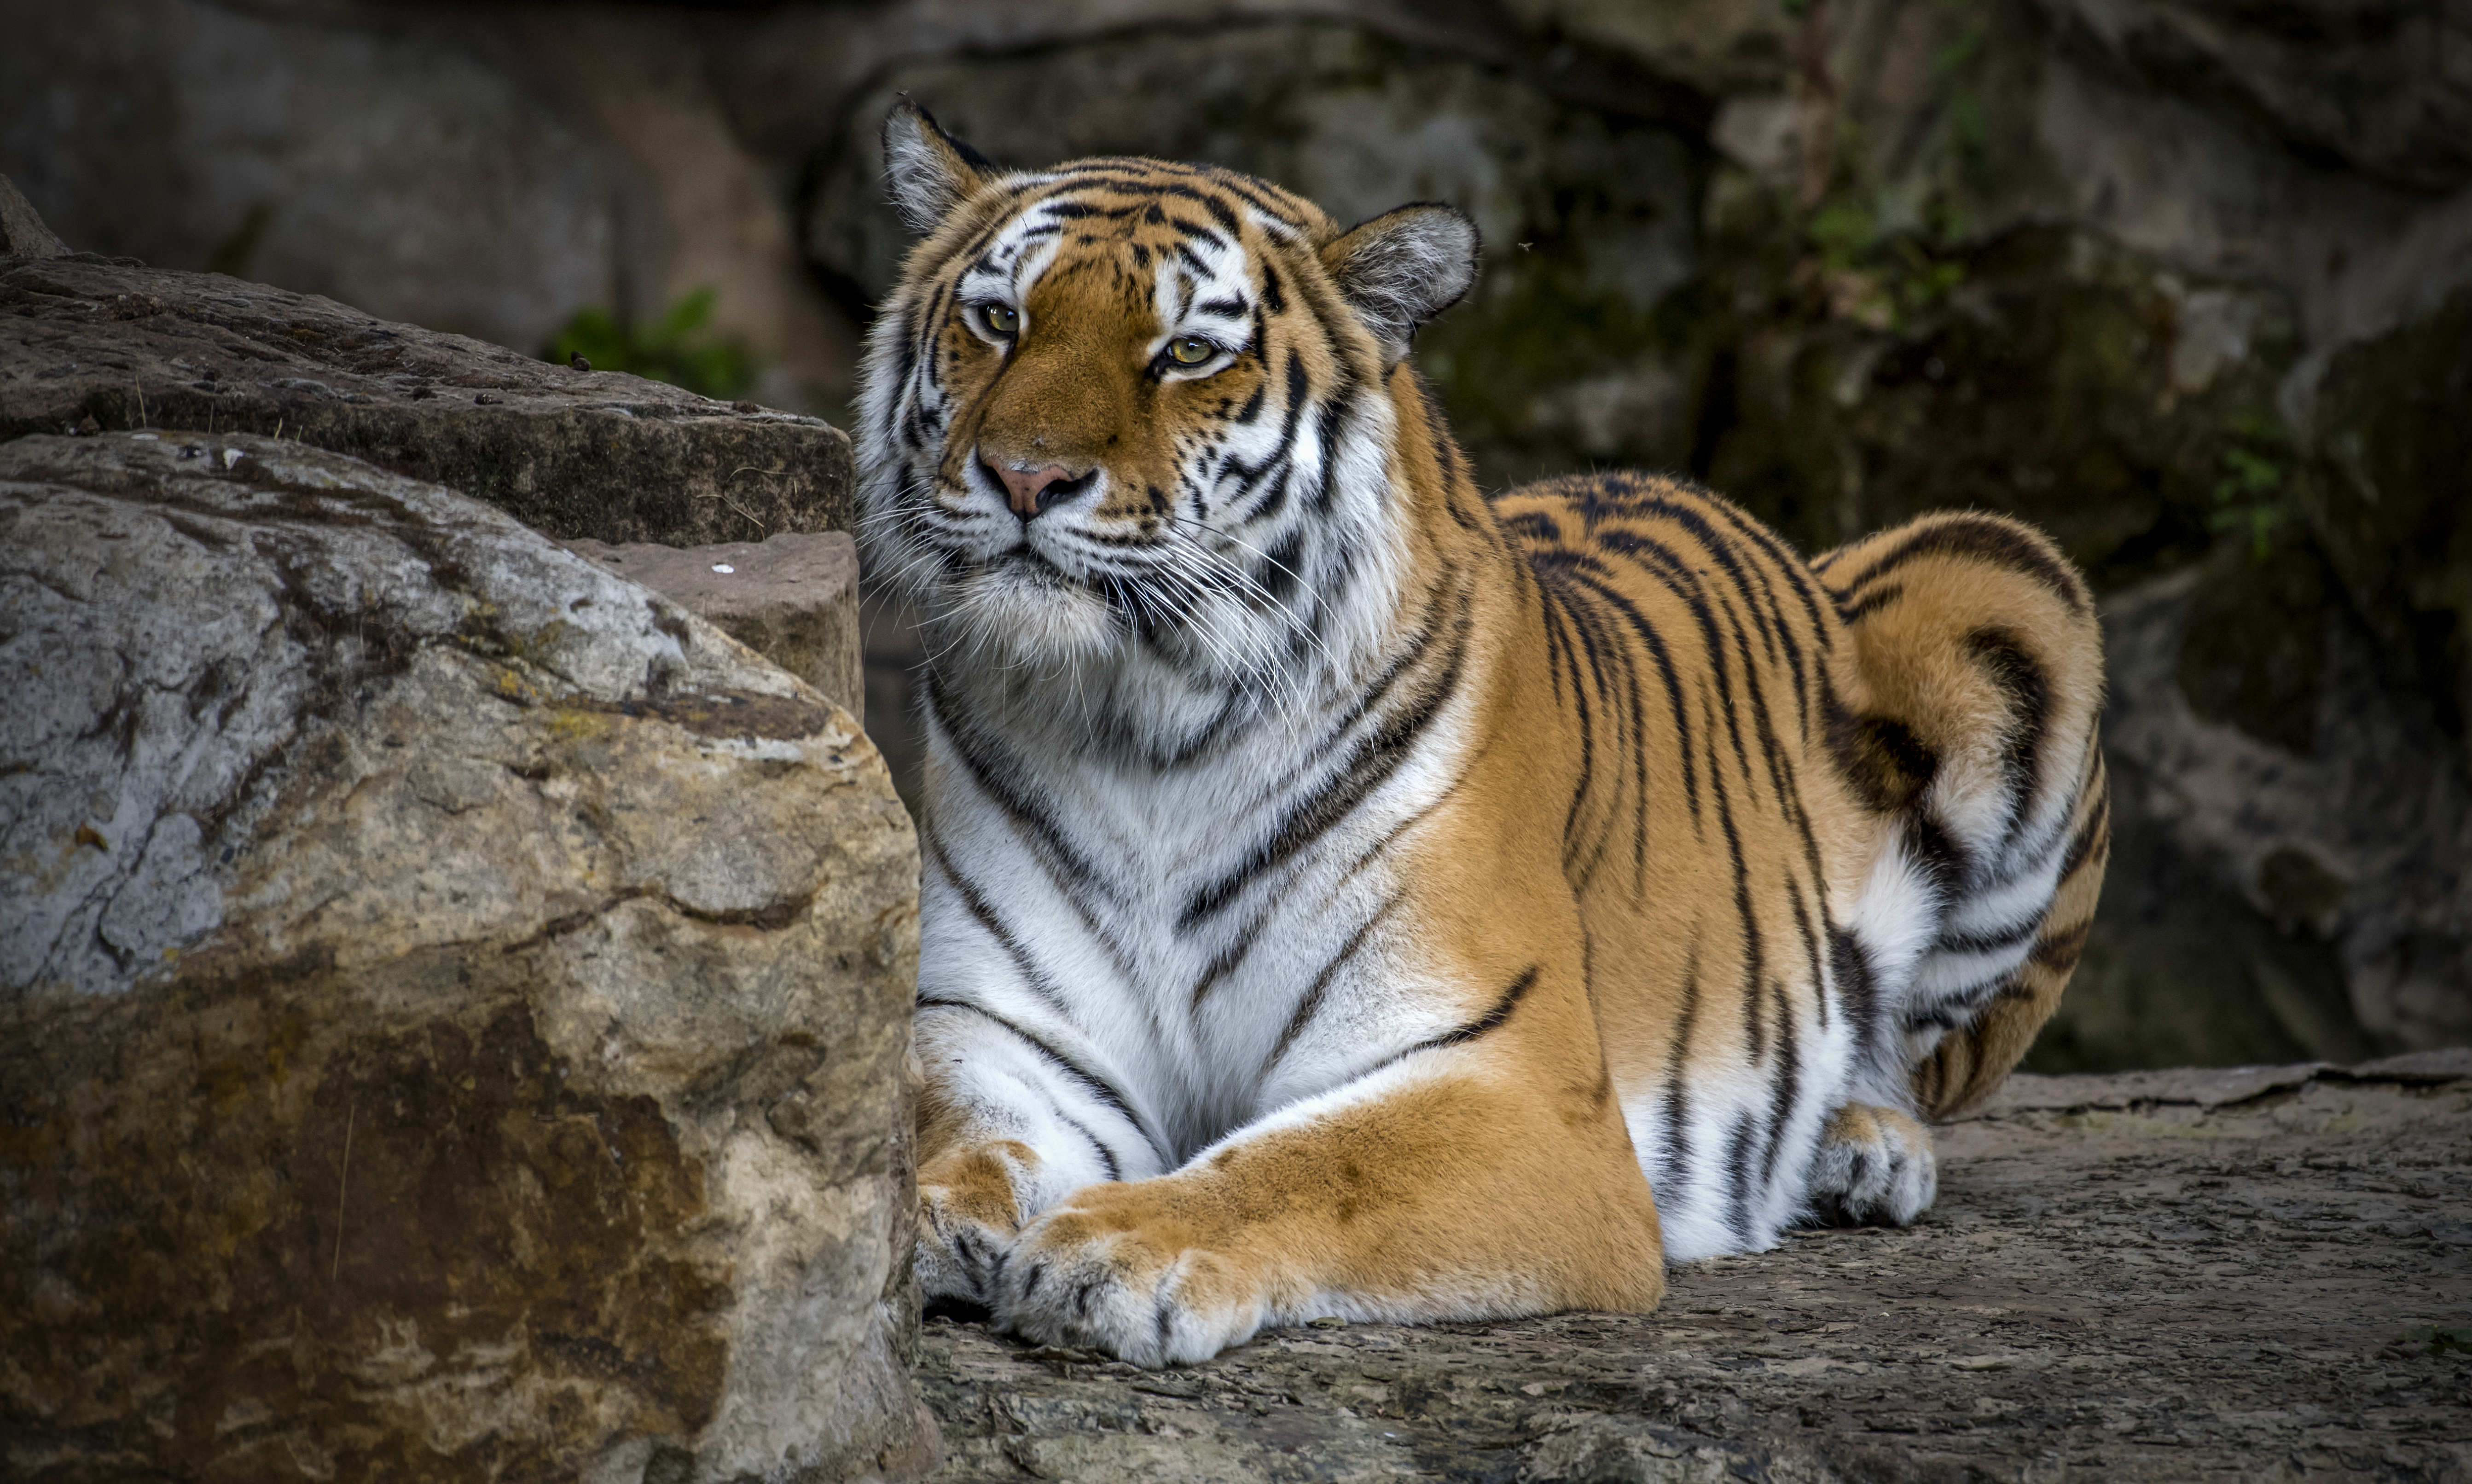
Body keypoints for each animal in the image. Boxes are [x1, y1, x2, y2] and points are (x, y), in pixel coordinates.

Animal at [850, 98, 2106, 1365]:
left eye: (1189, 354)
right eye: (999, 320)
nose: (1025, 477)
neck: (1145, 725)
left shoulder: (1511, 1082)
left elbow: (1303, 1165)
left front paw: (1112, 1248)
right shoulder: (1004, 1029)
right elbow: (963, 1129)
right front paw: (926, 1218)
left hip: (2010, 576)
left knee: (1922, 1065)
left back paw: (1861, 1147)